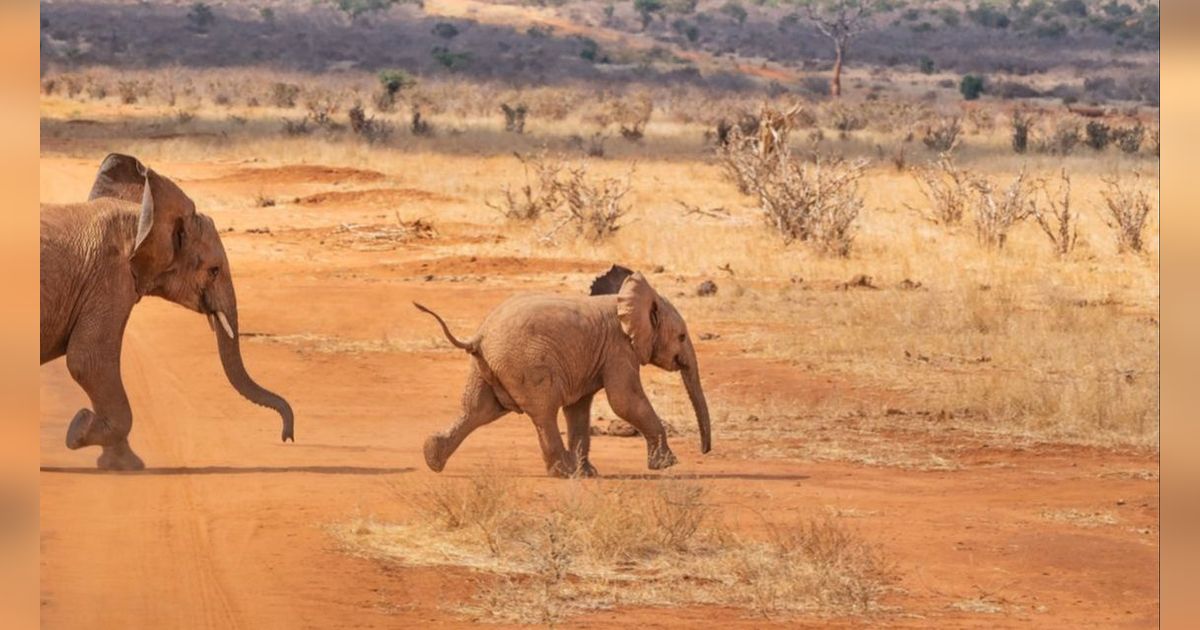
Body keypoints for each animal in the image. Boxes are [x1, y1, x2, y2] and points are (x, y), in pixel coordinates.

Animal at [41, 153, 294, 465]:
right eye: (213, 271)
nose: (287, 437)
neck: (142, 219)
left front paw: (120, 464)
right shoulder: (108, 277)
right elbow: (88, 360)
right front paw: (79, 431)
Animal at [415, 265, 710, 477]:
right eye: (682, 337)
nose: (705, 452)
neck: (625, 299)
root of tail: (479, 337)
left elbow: (579, 409)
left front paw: (589, 474)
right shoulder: (619, 349)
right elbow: (624, 401)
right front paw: (669, 465)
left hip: (486, 367)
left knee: (477, 411)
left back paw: (432, 458)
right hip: (527, 365)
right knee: (543, 413)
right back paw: (564, 472)